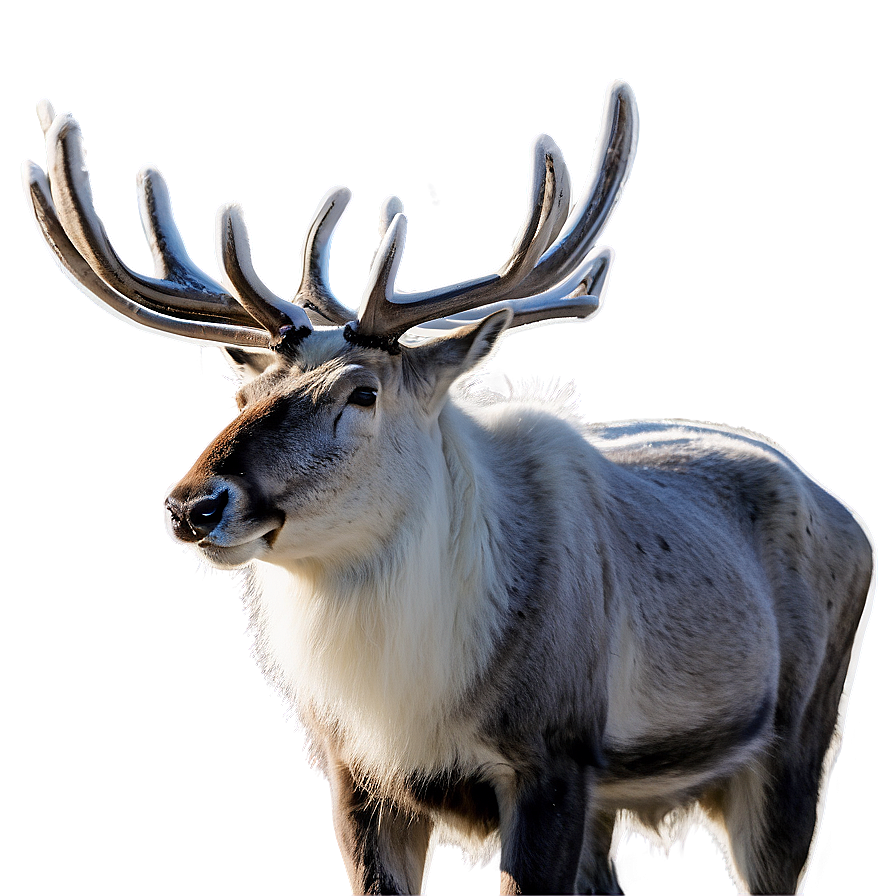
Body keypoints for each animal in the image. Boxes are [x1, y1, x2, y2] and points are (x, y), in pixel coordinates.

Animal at [22, 79, 874, 895]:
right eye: (244, 394)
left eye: (362, 393)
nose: (193, 504)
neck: (414, 697)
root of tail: (852, 520)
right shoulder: (363, 776)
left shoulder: (553, 756)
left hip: (793, 748)